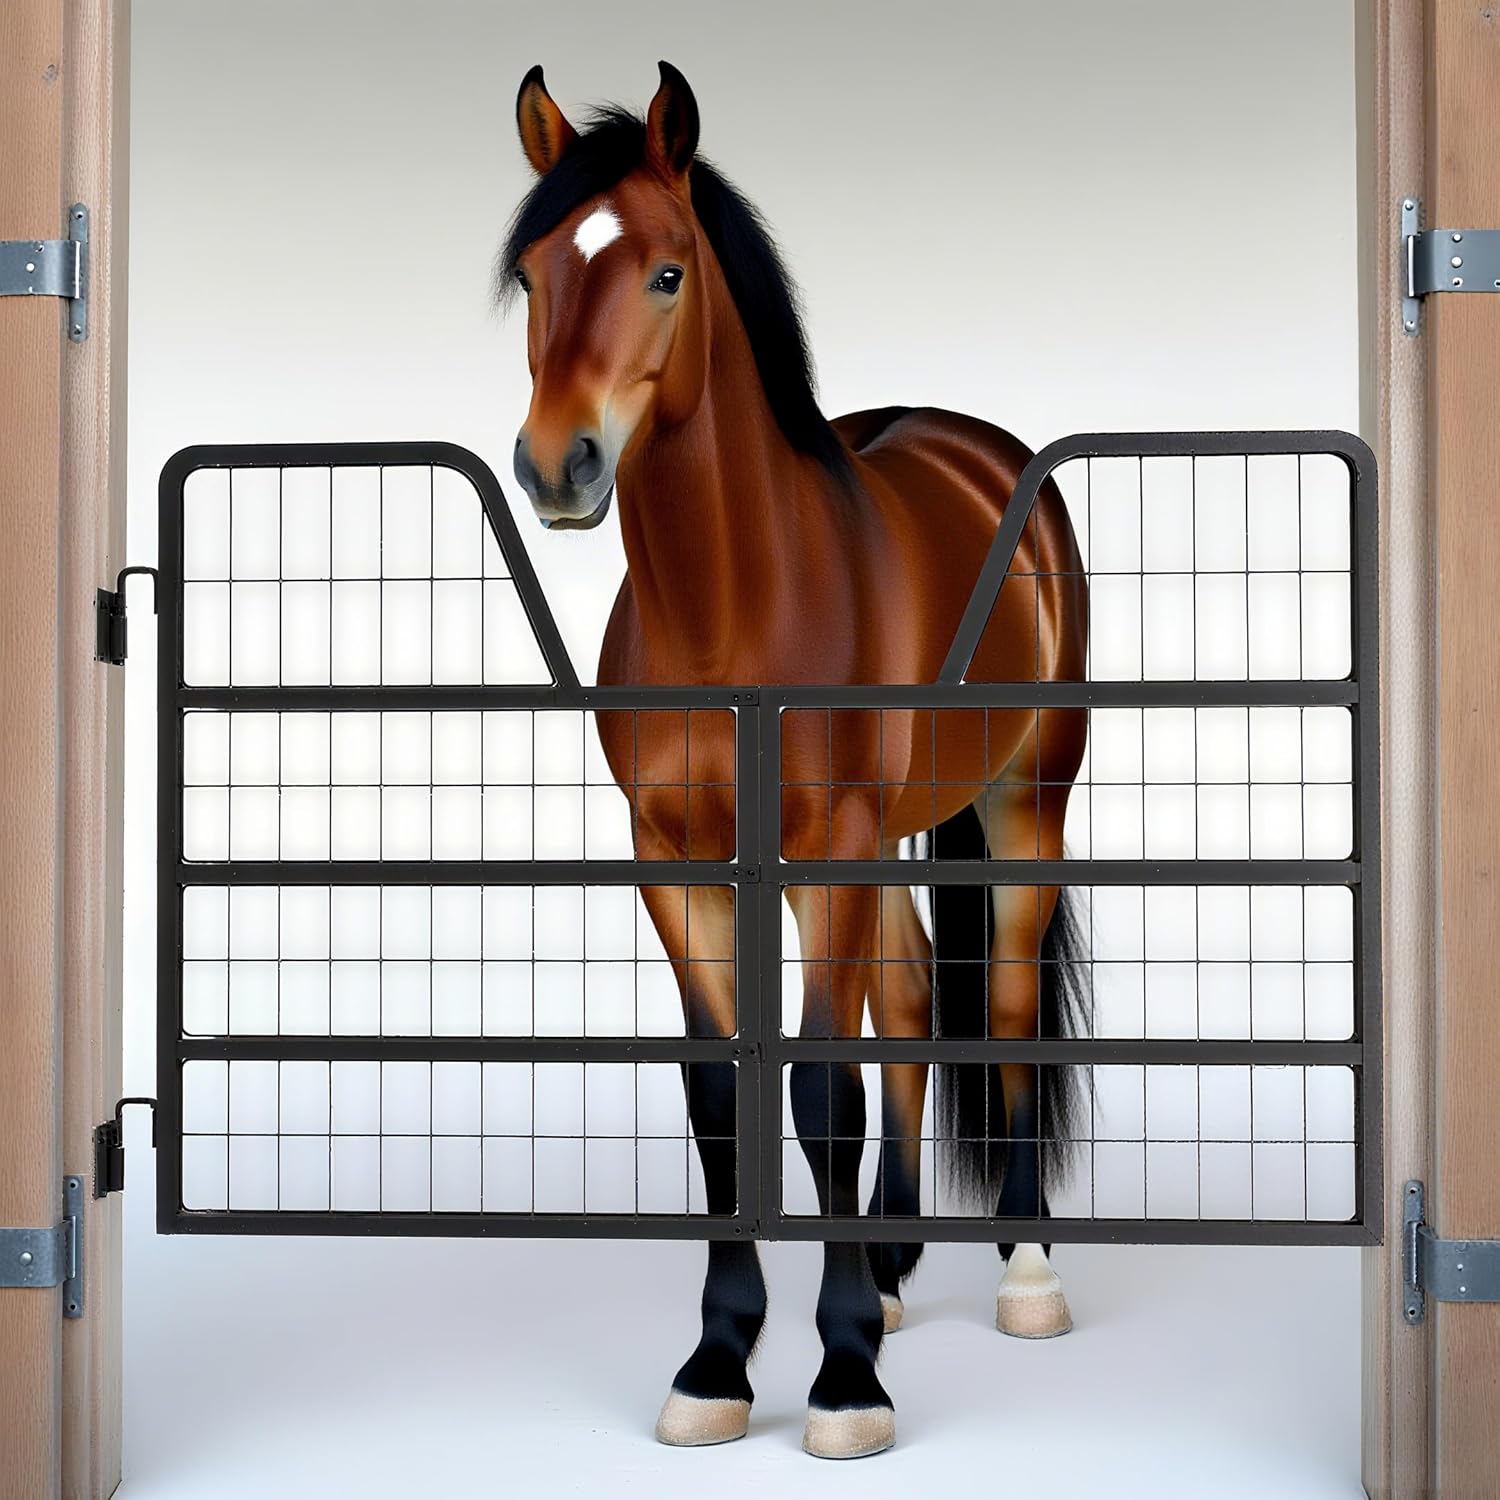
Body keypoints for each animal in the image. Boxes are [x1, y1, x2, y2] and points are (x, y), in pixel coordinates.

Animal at [499, 61, 1090, 1460]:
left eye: (666, 271)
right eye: (537, 275)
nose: (557, 466)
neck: (733, 610)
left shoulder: (829, 847)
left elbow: (821, 1084)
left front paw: (845, 1378)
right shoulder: (675, 859)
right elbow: (723, 1091)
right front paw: (720, 1360)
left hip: (1023, 804)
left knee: (1001, 1010)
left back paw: (1026, 1269)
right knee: (917, 1001)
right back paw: (892, 1257)